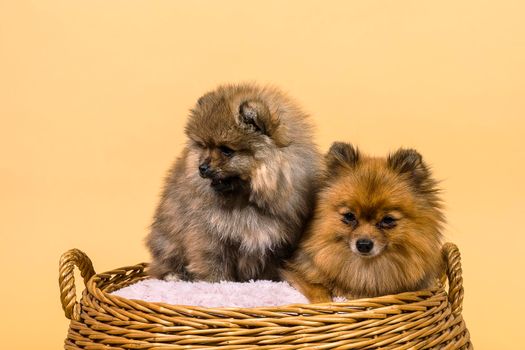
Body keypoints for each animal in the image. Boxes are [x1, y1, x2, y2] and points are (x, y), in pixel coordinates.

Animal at [145, 82, 322, 282]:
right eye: (204, 146)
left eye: (226, 150)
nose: (201, 167)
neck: (246, 201)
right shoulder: (209, 236)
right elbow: (214, 265)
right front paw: (217, 283)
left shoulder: (276, 241)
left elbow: (269, 269)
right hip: (166, 242)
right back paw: (173, 276)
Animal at [282, 144, 442, 302]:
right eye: (349, 216)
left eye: (388, 220)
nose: (364, 244)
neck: (365, 269)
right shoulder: (294, 273)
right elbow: (318, 288)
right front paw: (324, 302)